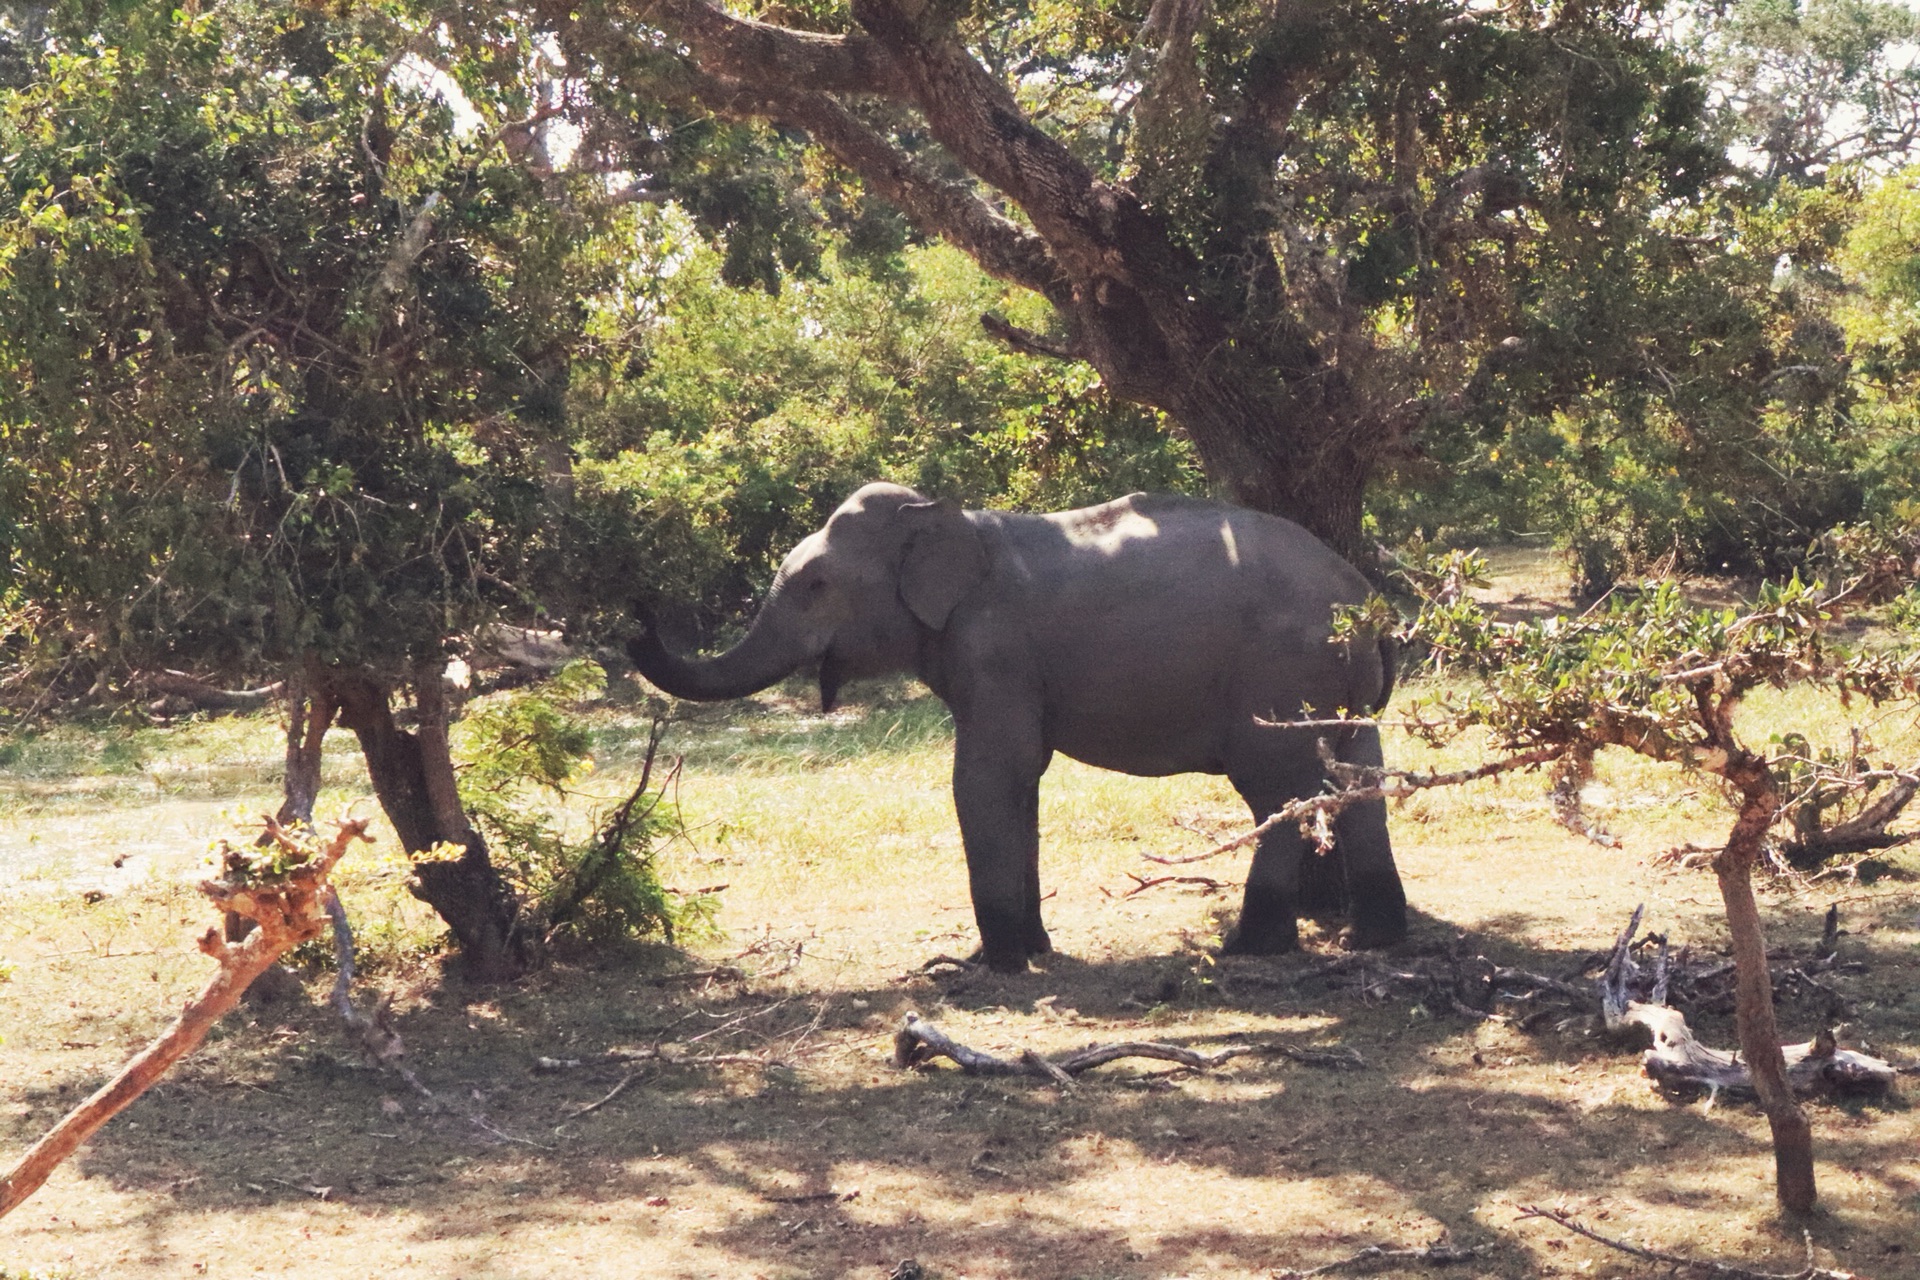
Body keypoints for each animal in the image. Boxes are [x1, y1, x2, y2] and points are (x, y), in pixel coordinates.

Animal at [633, 485, 1413, 974]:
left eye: (815, 586)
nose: (635, 612)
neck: (954, 516)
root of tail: (1365, 599)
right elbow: (1021, 782)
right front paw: (1031, 951)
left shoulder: (995, 648)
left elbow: (987, 777)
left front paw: (990, 967)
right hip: (1340, 693)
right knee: (1362, 781)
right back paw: (1373, 940)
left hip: (1281, 679)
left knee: (1275, 794)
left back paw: (1253, 948)